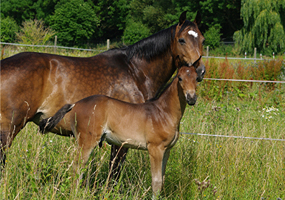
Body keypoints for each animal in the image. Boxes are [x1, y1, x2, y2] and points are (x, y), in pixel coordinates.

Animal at [0, 11, 204, 180]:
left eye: (201, 39)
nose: (200, 71)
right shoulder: (122, 141)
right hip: (10, 128)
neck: (135, 71)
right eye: (182, 40)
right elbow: (115, 171)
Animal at [37, 65, 197, 196]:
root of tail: (75, 104)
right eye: (180, 78)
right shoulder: (155, 149)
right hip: (87, 141)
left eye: (197, 78)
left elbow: (162, 180)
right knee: (77, 167)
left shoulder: (167, 150)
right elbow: (156, 181)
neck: (162, 112)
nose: (191, 98)